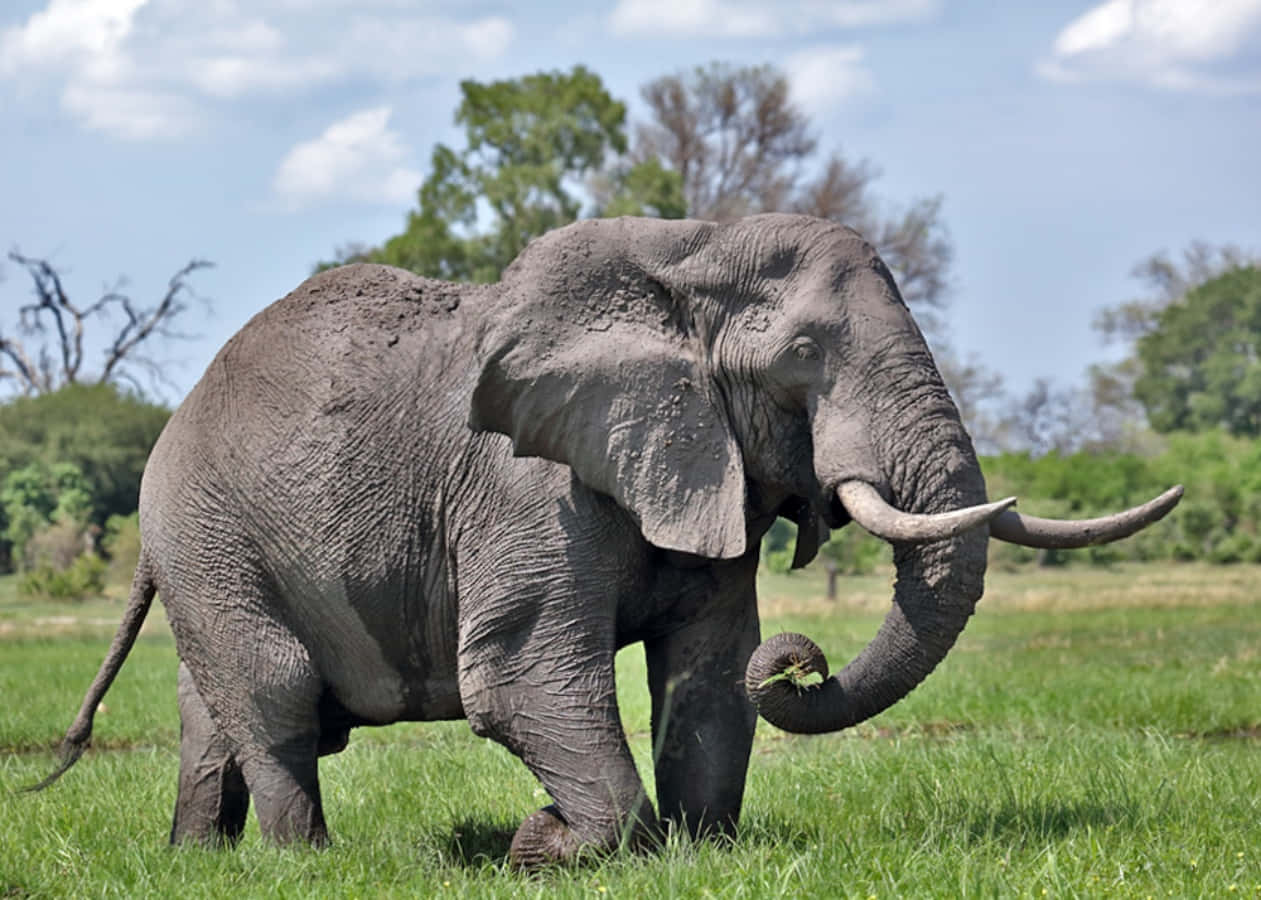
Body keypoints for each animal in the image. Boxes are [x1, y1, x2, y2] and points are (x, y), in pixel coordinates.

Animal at [31, 213, 1181, 867]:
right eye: (804, 355)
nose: (803, 662)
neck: (685, 249)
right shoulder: (527, 490)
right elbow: (520, 678)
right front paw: (546, 847)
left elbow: (711, 670)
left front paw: (702, 854)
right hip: (207, 530)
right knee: (273, 693)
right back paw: (303, 867)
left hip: (210, 544)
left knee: (219, 703)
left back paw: (197, 860)